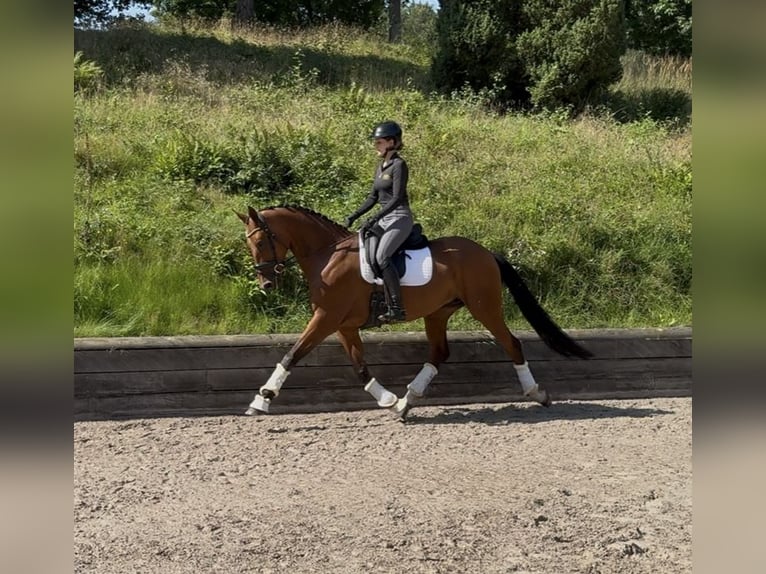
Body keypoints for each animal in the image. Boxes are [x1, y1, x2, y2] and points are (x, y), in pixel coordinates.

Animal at [236, 205, 592, 421]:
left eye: (261, 242)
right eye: (249, 245)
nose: (266, 283)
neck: (328, 256)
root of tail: (486, 252)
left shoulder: (326, 318)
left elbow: (292, 354)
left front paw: (261, 400)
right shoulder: (343, 325)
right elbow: (360, 368)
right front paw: (389, 401)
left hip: (484, 307)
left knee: (511, 343)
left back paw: (538, 393)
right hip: (437, 313)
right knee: (439, 353)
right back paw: (407, 401)